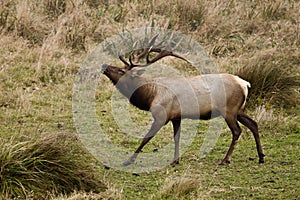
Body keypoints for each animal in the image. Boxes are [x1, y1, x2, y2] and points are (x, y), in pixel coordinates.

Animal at [101, 34, 264, 166]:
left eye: (121, 70)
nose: (104, 65)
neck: (150, 96)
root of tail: (245, 84)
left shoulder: (162, 115)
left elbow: (146, 138)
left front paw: (128, 160)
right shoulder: (176, 116)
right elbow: (177, 138)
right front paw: (175, 160)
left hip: (229, 109)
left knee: (237, 131)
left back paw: (225, 159)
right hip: (239, 109)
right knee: (253, 124)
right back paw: (261, 157)